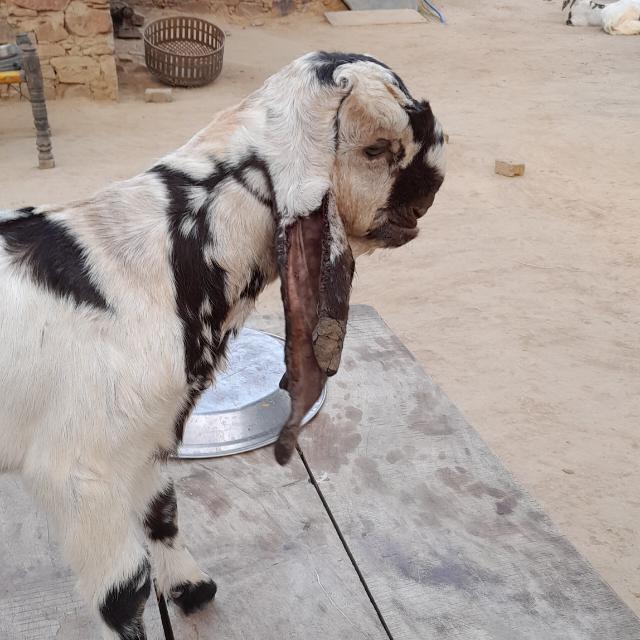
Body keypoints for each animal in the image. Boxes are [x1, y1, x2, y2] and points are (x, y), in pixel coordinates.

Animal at [0, 51, 445, 639]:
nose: (429, 194)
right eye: (378, 148)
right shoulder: (78, 470)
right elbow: (123, 594)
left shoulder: (150, 435)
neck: (166, 258)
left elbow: (163, 514)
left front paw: (190, 587)